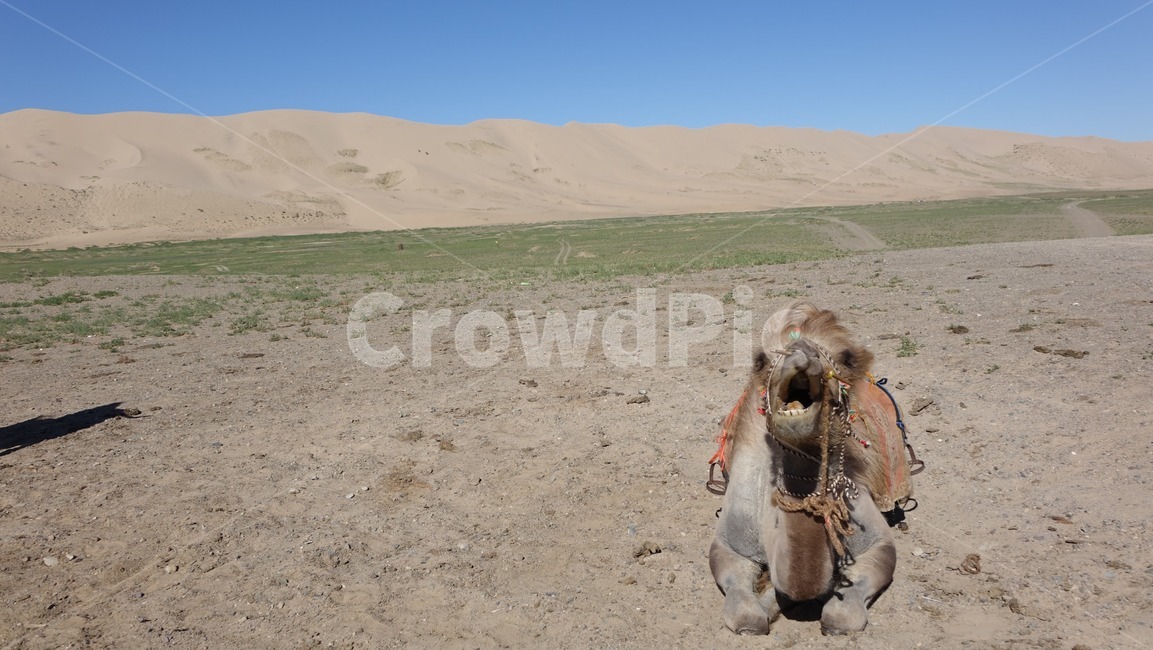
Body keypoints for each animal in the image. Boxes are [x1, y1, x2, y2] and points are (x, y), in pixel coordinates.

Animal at [708, 301, 918, 635]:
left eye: (846, 358)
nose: (801, 353)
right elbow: (743, 608)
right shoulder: (732, 536)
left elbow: (847, 609)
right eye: (760, 360)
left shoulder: (872, 532)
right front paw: (762, 609)